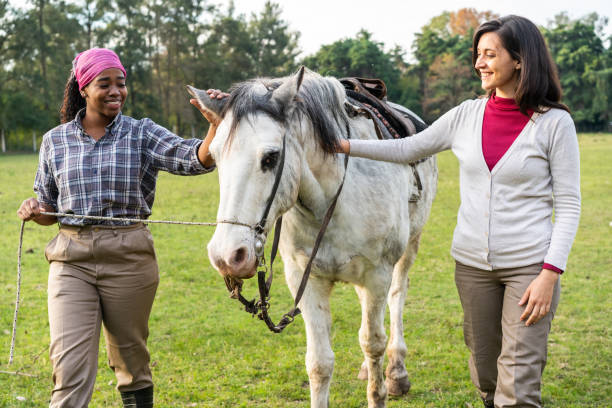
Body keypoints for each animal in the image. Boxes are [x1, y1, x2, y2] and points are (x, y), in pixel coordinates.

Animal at [189, 68, 438, 406]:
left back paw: (397, 371)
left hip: (409, 247)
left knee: (397, 297)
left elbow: (373, 342)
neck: (334, 198)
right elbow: (319, 363)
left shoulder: (377, 275)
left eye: (271, 157)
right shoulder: (305, 280)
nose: (227, 256)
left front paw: (382, 385)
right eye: (214, 156)